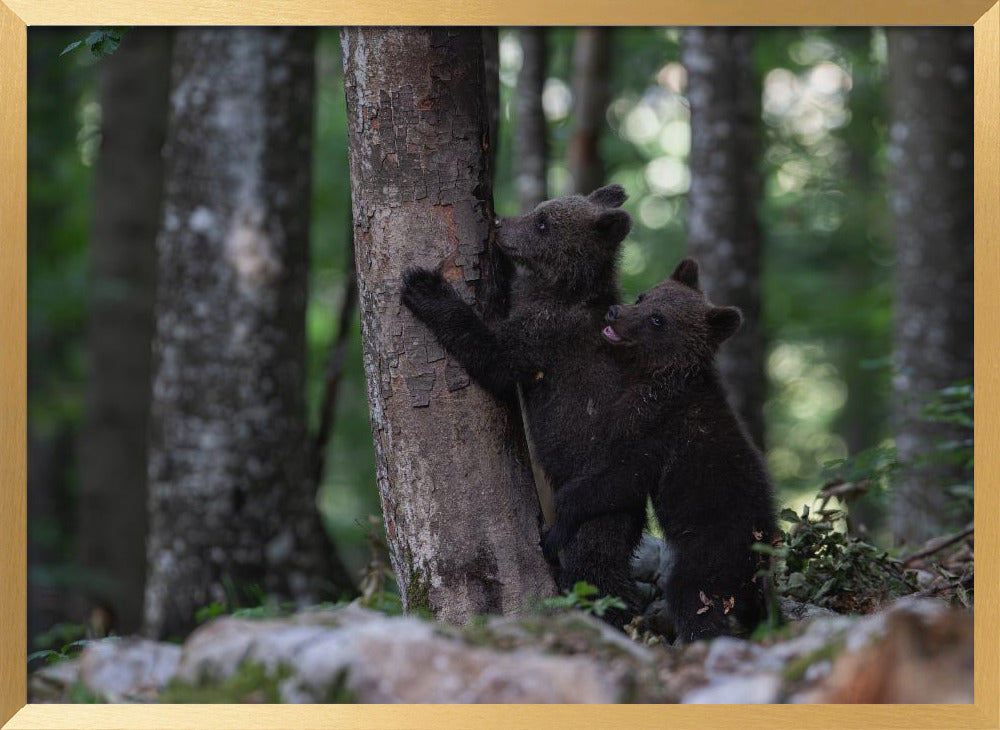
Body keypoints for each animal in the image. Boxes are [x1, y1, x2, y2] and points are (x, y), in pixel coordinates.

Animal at [400, 184, 648, 628]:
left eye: (544, 223)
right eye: (539, 210)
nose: (500, 224)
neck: (561, 290)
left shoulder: (544, 337)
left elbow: (493, 357)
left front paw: (425, 286)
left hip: (598, 492)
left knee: (595, 557)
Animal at [541, 258, 778, 643]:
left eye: (658, 320)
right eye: (643, 296)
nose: (614, 311)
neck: (657, 377)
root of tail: (759, 561)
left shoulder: (656, 431)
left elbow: (618, 480)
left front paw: (555, 526)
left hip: (711, 552)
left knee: (691, 595)